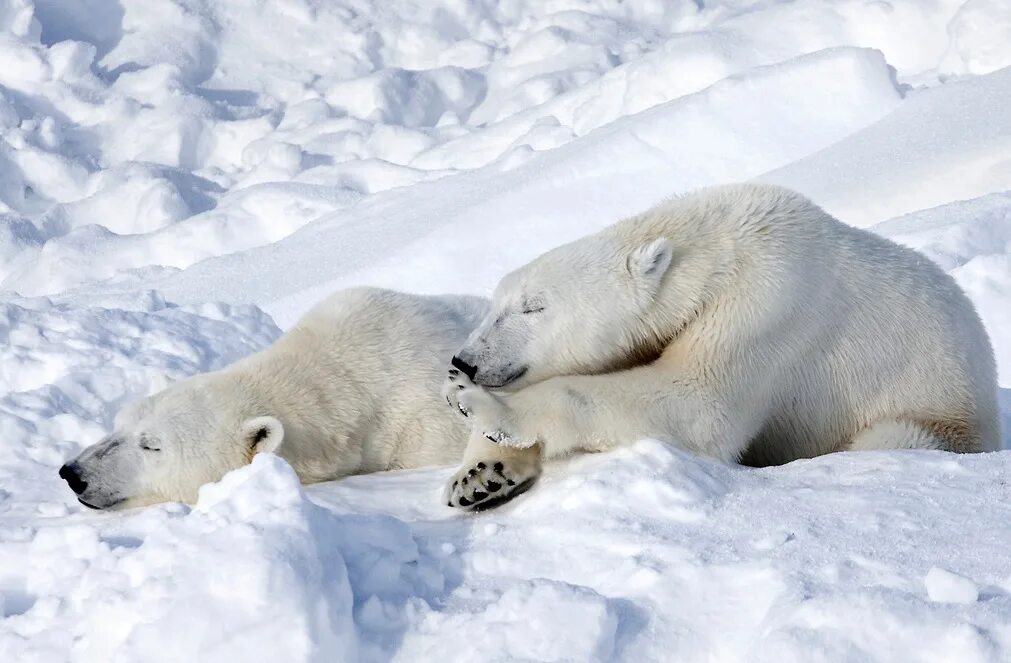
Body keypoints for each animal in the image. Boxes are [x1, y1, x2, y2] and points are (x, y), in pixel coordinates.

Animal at [444, 180, 1002, 507]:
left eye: (534, 307)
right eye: (495, 305)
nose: (463, 361)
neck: (717, 247)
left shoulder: (765, 307)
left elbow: (698, 404)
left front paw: (484, 407)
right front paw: (479, 475)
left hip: (936, 419)